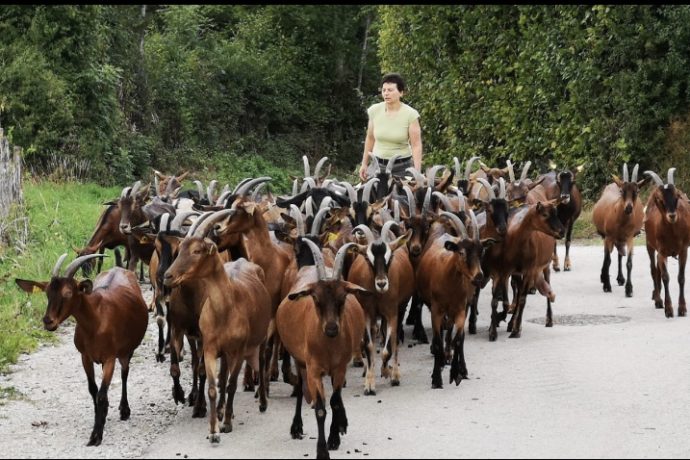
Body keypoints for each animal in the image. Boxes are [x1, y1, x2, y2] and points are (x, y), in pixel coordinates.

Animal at [14, 252, 147, 446]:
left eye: (68, 293)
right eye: (47, 293)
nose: (48, 321)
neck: (95, 322)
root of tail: (119, 268)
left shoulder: (110, 358)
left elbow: (101, 394)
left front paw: (96, 435)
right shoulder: (85, 356)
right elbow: (93, 390)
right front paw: (100, 419)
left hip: (125, 352)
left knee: (125, 373)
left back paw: (124, 410)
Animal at [276, 241, 370, 460]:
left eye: (343, 299)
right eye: (316, 299)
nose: (332, 329)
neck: (328, 347)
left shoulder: (340, 367)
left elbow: (335, 402)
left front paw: (334, 438)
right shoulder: (314, 369)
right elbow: (320, 409)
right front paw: (322, 451)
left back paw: (342, 423)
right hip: (299, 360)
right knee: (300, 387)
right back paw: (296, 427)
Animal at [588, 164, 648, 296]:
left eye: (637, 191)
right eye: (622, 191)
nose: (629, 208)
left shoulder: (630, 237)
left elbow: (629, 262)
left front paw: (629, 289)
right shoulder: (609, 237)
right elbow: (608, 260)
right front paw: (607, 286)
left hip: (621, 239)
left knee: (619, 255)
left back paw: (620, 278)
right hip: (607, 237)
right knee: (607, 256)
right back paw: (603, 277)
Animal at [640, 168, 688, 316]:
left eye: (677, 196)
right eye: (660, 199)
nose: (672, 215)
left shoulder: (684, 250)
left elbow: (681, 277)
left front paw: (682, 308)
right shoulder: (662, 251)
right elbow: (665, 277)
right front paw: (669, 309)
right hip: (649, 245)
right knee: (653, 269)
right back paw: (658, 299)